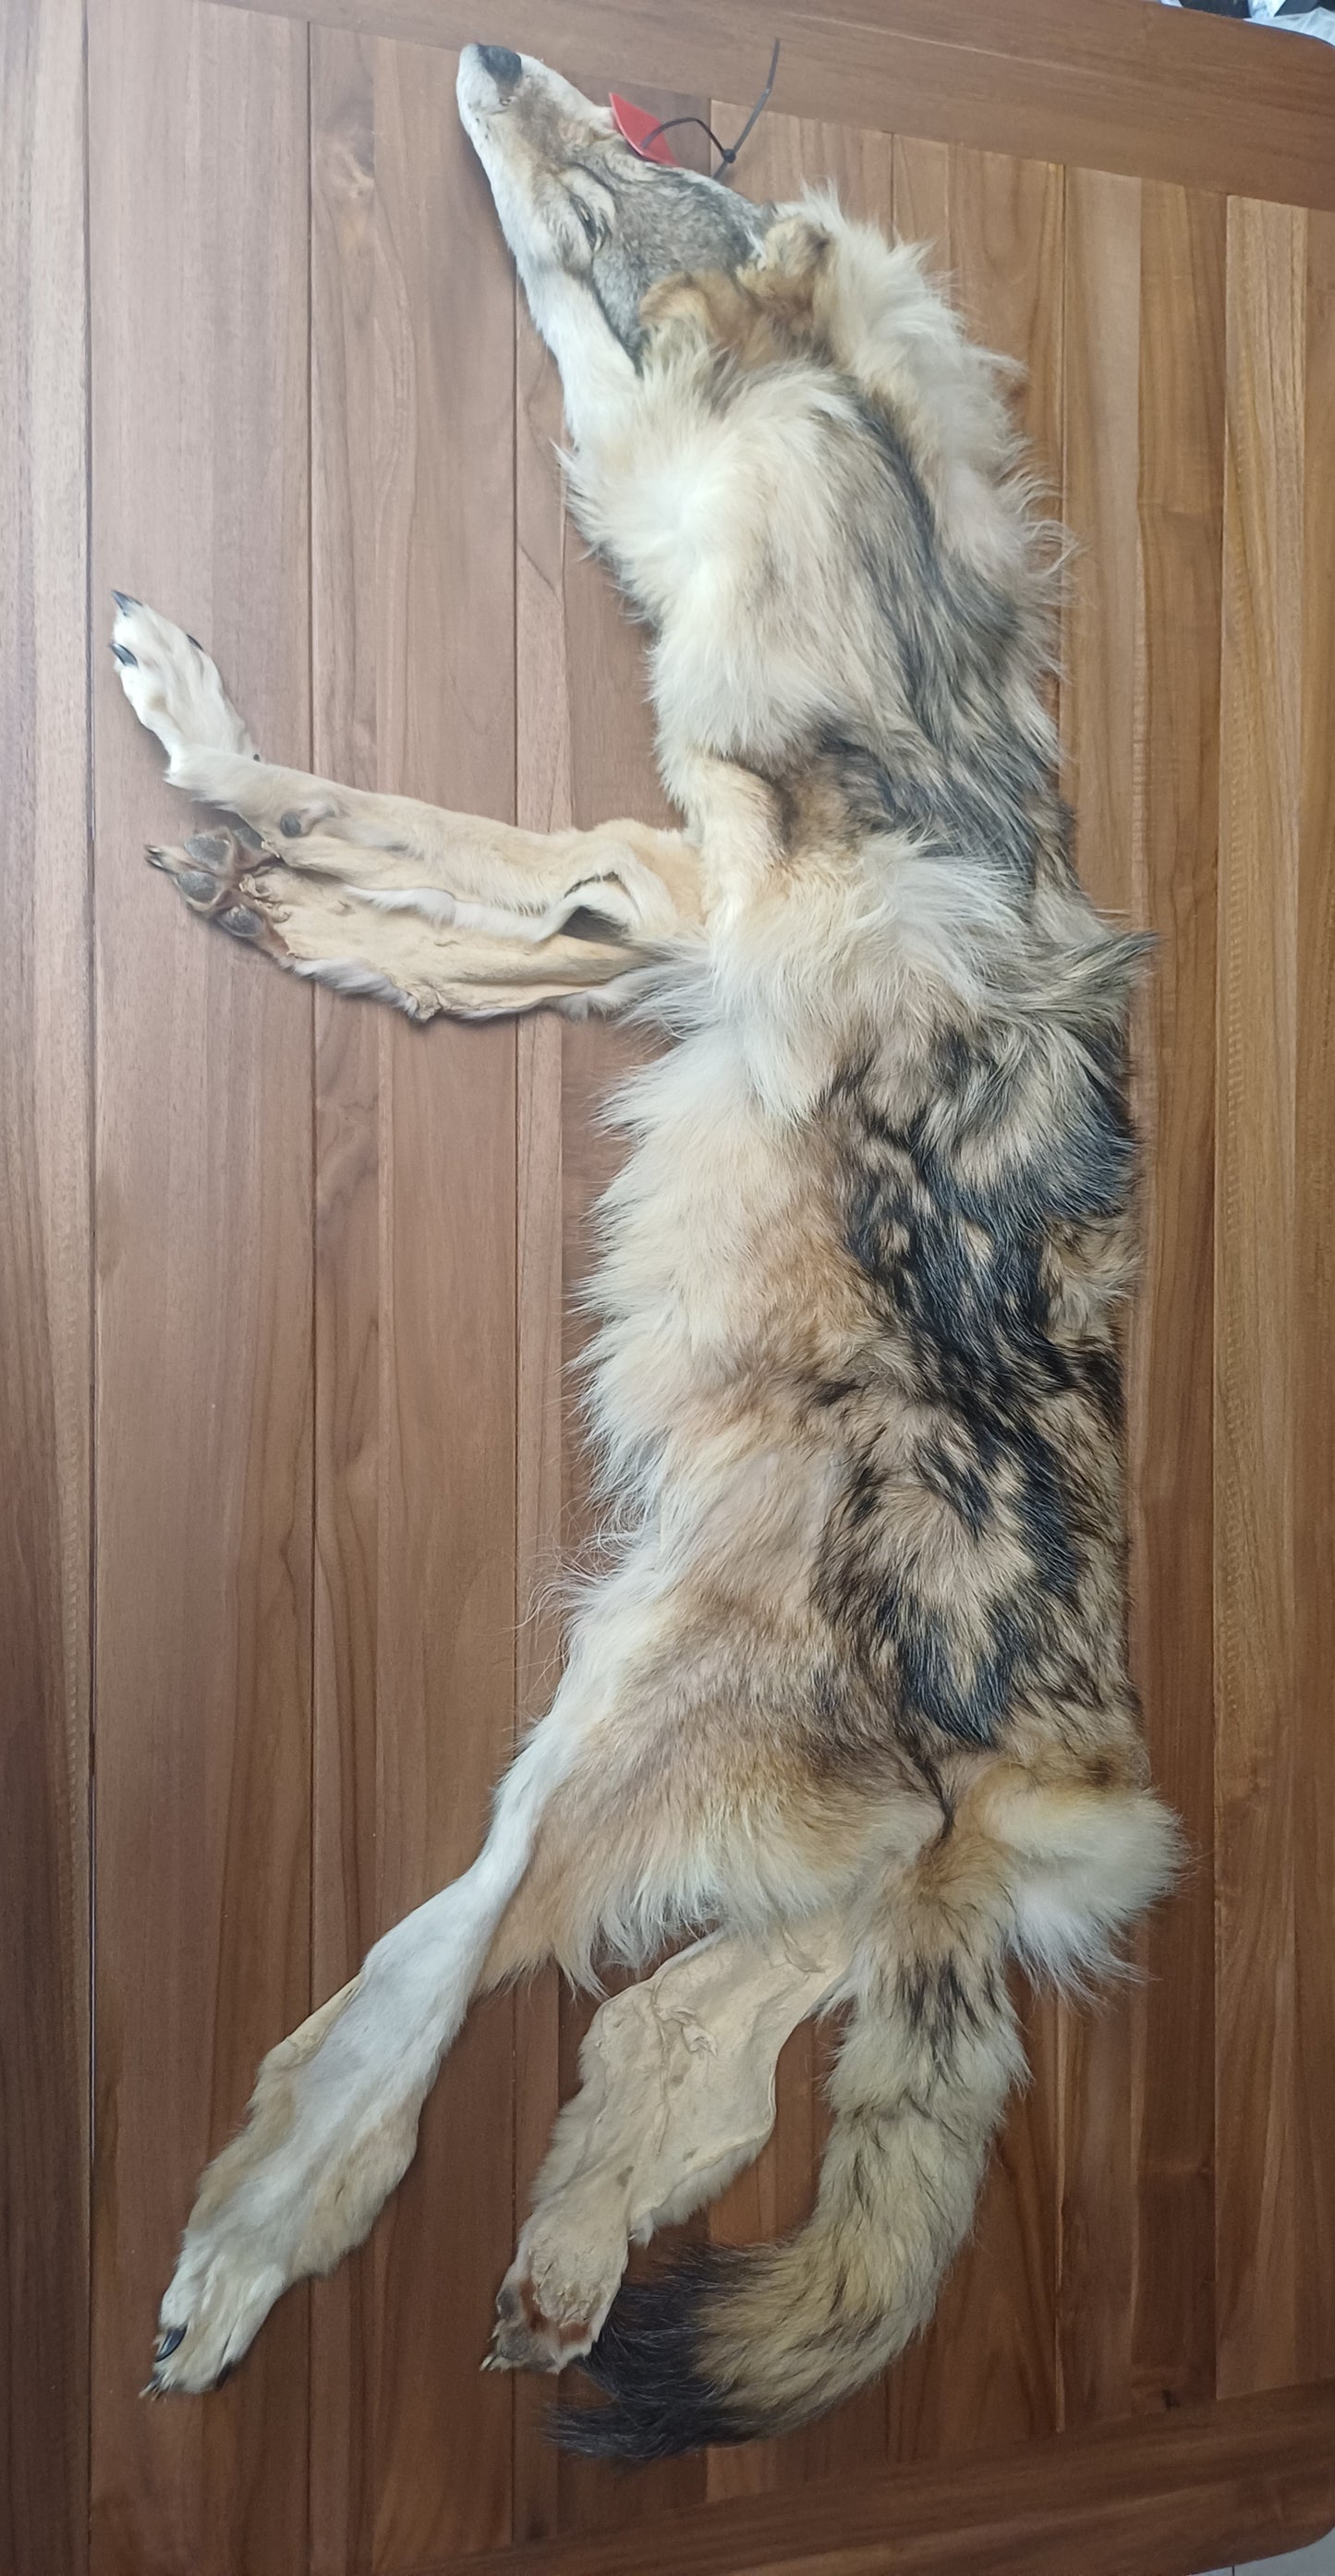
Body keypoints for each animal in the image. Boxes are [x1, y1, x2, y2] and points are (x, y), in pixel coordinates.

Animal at [114, 44, 1179, 2458]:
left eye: (625, 169)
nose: (496, 54)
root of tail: (1062, 1786)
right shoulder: (667, 904)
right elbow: (461, 907)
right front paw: (276, 884)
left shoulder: (698, 884)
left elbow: (434, 837)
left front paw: (228, 776)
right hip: (719, 1783)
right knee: (707, 2003)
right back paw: (573, 2232)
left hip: (608, 1713)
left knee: (446, 2000)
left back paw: (259, 2246)